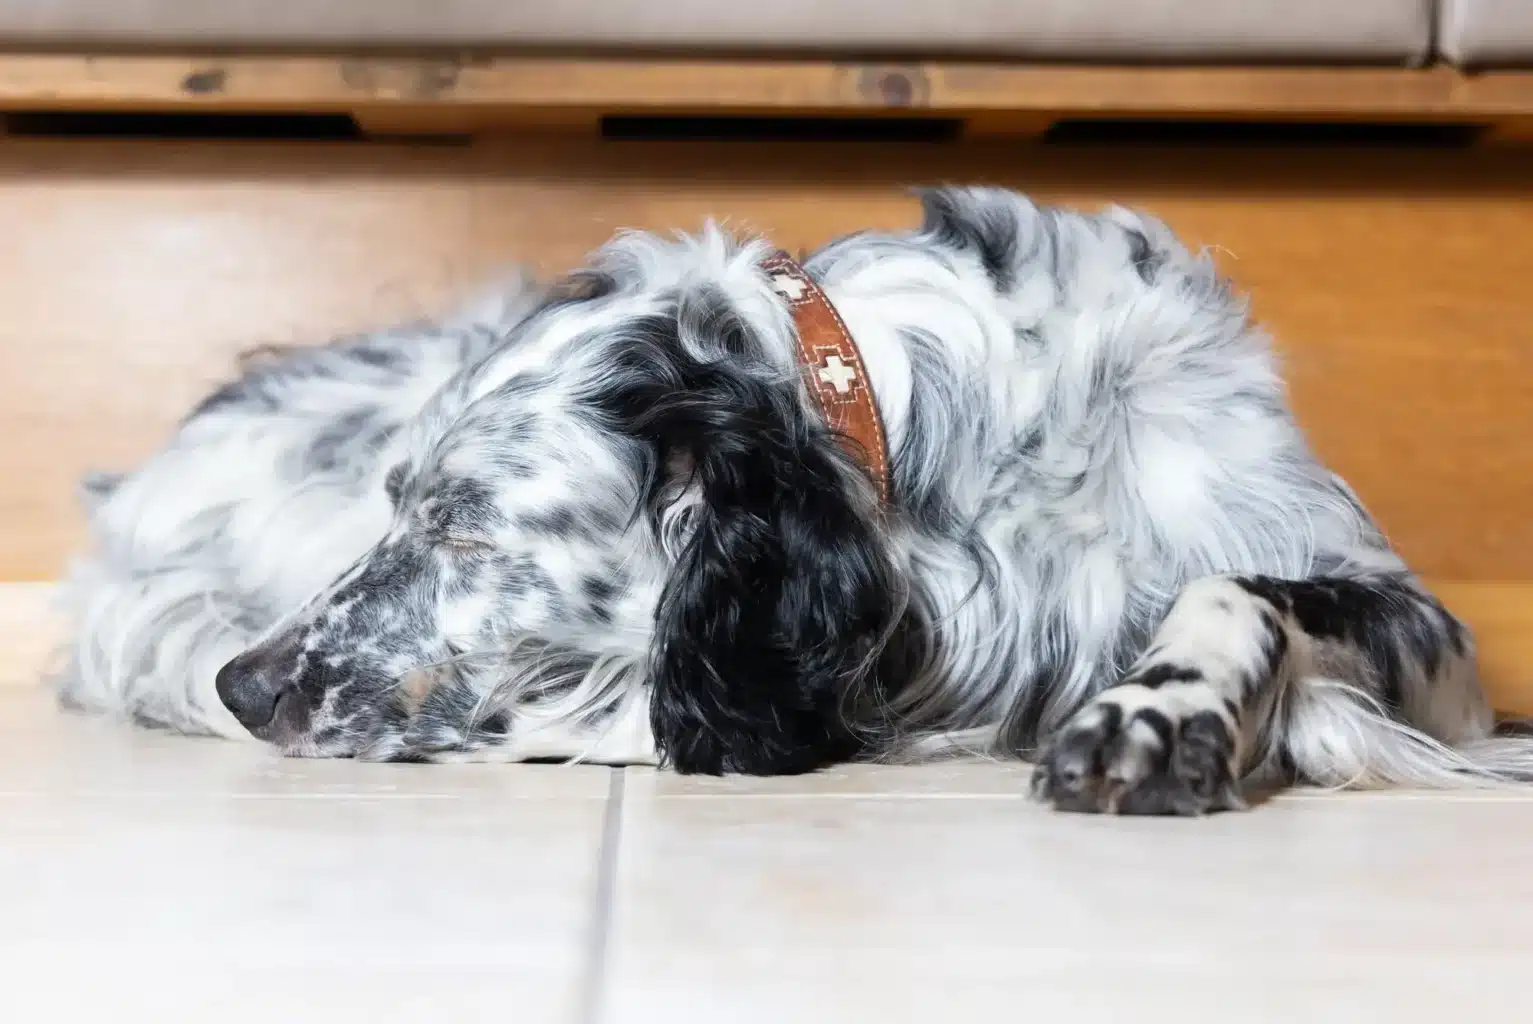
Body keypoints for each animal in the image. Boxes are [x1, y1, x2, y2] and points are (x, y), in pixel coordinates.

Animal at [58, 187, 1533, 815]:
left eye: (464, 524)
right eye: (399, 502)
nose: (245, 685)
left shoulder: (1427, 633)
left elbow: (1238, 592)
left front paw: (1157, 715)